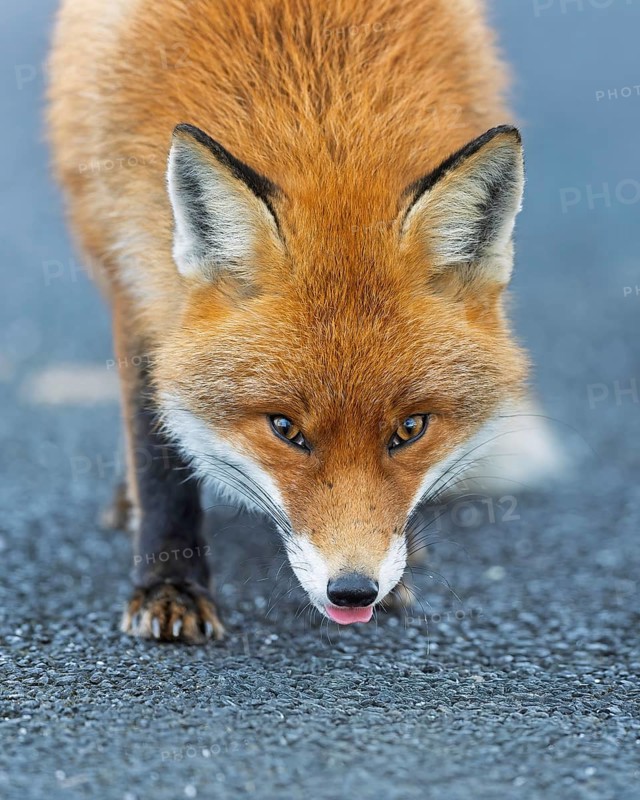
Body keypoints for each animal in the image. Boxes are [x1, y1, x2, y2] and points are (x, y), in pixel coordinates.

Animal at [47, 0, 560, 643]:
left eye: (411, 428)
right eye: (285, 429)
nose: (354, 591)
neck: (318, 95)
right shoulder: (132, 274)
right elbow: (157, 449)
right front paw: (170, 584)